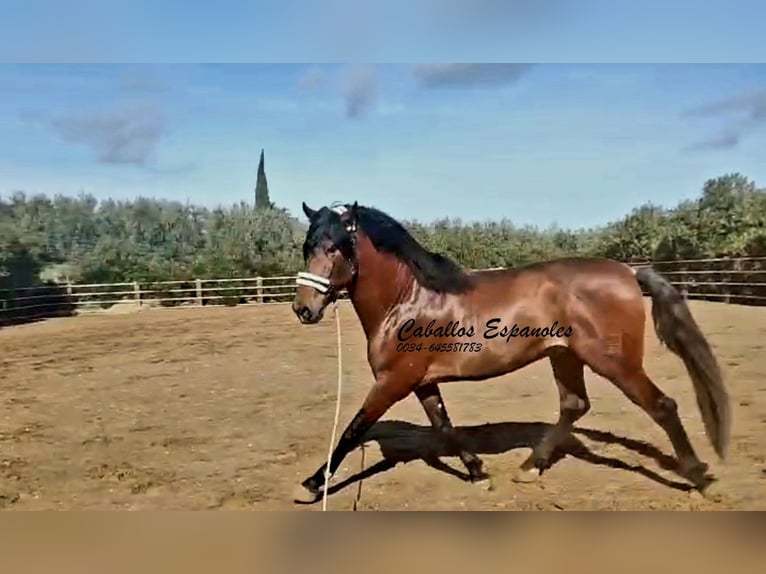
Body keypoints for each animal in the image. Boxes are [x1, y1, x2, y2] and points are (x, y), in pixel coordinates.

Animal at [290, 201, 730, 505]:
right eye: (307, 246)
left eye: (335, 248)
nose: (303, 309)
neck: (407, 300)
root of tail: (628, 272)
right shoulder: (420, 381)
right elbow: (443, 425)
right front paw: (479, 473)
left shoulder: (393, 381)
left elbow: (353, 429)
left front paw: (311, 484)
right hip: (565, 356)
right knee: (574, 404)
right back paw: (528, 469)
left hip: (614, 362)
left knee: (662, 406)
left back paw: (702, 481)